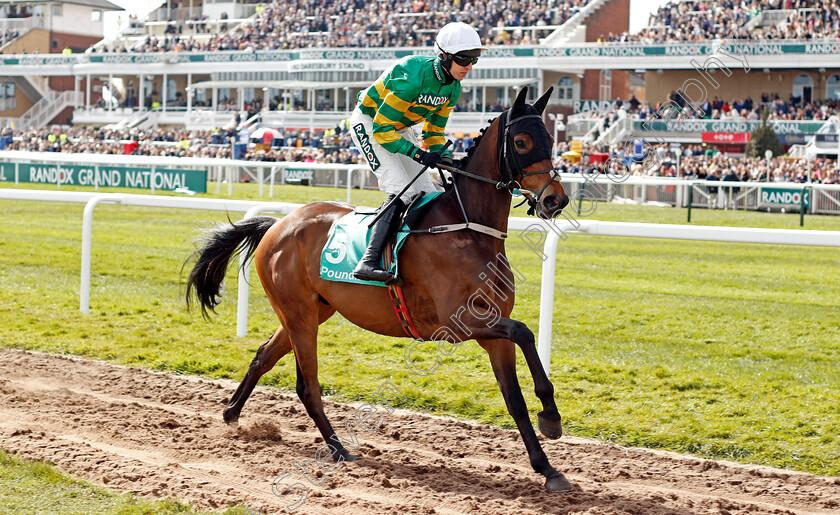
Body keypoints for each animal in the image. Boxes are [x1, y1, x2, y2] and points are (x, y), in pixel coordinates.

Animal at [186, 87, 576, 492]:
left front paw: (548, 467)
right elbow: (525, 332)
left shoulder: (494, 329)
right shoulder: (460, 321)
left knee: (263, 356)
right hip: (299, 314)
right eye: (521, 142)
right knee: (307, 385)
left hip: (311, 310)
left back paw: (231, 412)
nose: (556, 199)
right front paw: (551, 415)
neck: (467, 228)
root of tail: (278, 224)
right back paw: (339, 449)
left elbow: (514, 397)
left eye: (551, 141)